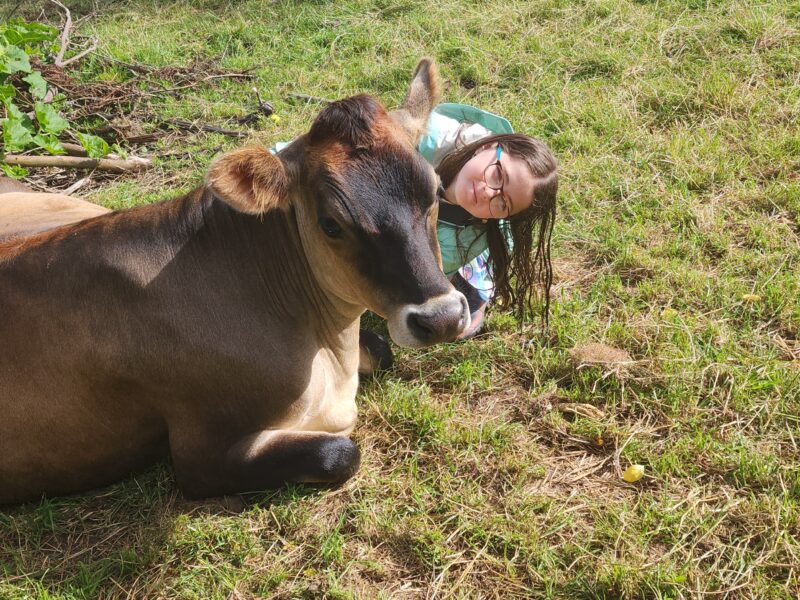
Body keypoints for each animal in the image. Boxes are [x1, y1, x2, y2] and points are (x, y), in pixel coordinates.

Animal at [0, 59, 469, 504]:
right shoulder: (200, 454)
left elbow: (381, 348)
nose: (442, 318)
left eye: (437, 191)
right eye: (331, 224)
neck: (326, 350)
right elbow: (339, 452)